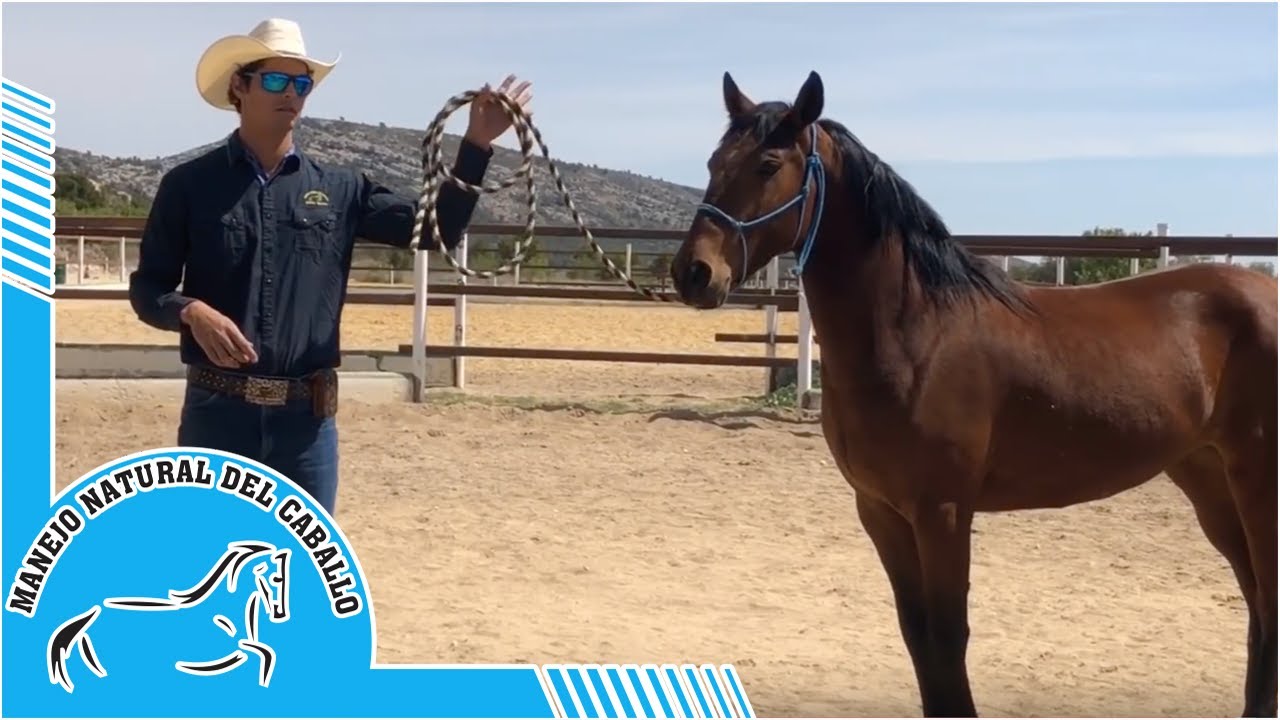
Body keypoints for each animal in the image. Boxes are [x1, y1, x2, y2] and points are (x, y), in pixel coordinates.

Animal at [669, 70, 1277, 717]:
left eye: (768, 164)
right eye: (713, 161)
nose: (694, 273)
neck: (915, 332)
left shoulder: (942, 511)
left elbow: (947, 637)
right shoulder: (880, 511)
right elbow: (917, 638)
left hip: (1257, 483)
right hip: (1208, 479)